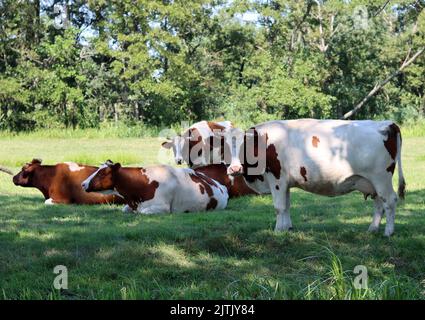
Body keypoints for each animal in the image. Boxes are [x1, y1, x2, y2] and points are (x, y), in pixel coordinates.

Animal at [220, 119, 406, 236]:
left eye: (244, 146)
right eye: (225, 147)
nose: (235, 168)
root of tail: (387, 123)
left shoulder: (276, 178)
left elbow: (279, 207)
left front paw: (278, 230)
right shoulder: (285, 182)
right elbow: (286, 206)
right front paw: (287, 228)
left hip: (381, 178)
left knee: (390, 201)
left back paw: (388, 232)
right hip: (372, 182)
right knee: (379, 204)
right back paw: (372, 229)